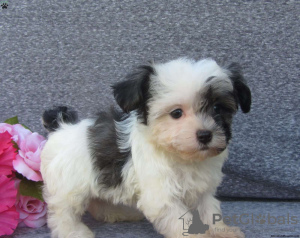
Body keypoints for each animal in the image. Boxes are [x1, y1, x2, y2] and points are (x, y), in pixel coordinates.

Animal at [39, 58, 251, 238]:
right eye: (176, 113)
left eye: (217, 108)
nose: (205, 135)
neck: (182, 157)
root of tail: (62, 126)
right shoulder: (161, 195)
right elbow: (181, 221)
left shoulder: (203, 188)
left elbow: (209, 209)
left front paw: (222, 230)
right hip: (68, 186)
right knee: (63, 212)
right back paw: (74, 232)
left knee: (98, 202)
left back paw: (118, 213)